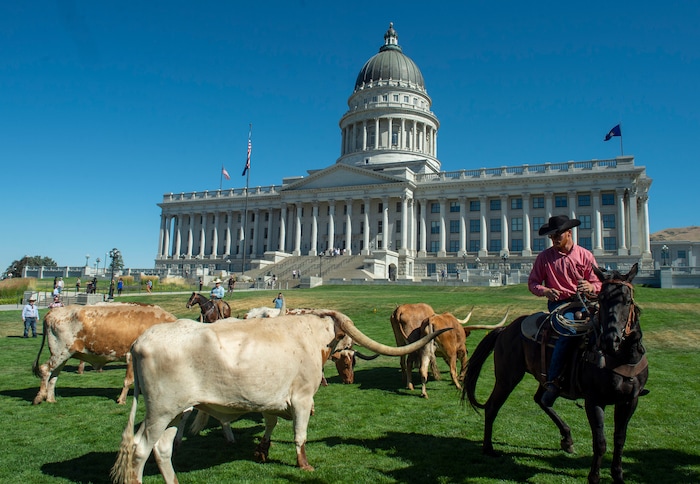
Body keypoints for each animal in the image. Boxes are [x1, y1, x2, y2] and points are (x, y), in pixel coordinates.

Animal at [32, 303, 177, 405]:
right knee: (45, 370)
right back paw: (39, 397)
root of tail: (54, 311)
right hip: (60, 352)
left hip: (64, 355)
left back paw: (51, 399)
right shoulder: (131, 357)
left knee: (53, 376)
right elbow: (128, 381)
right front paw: (121, 400)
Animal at [110, 310, 449, 483]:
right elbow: (300, 433)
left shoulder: (271, 398)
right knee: (140, 449)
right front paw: (304, 465)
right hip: (160, 410)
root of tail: (140, 341)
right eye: (347, 342)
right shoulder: (301, 398)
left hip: (177, 411)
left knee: (162, 449)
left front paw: (262, 450)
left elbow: (271, 423)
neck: (311, 335)